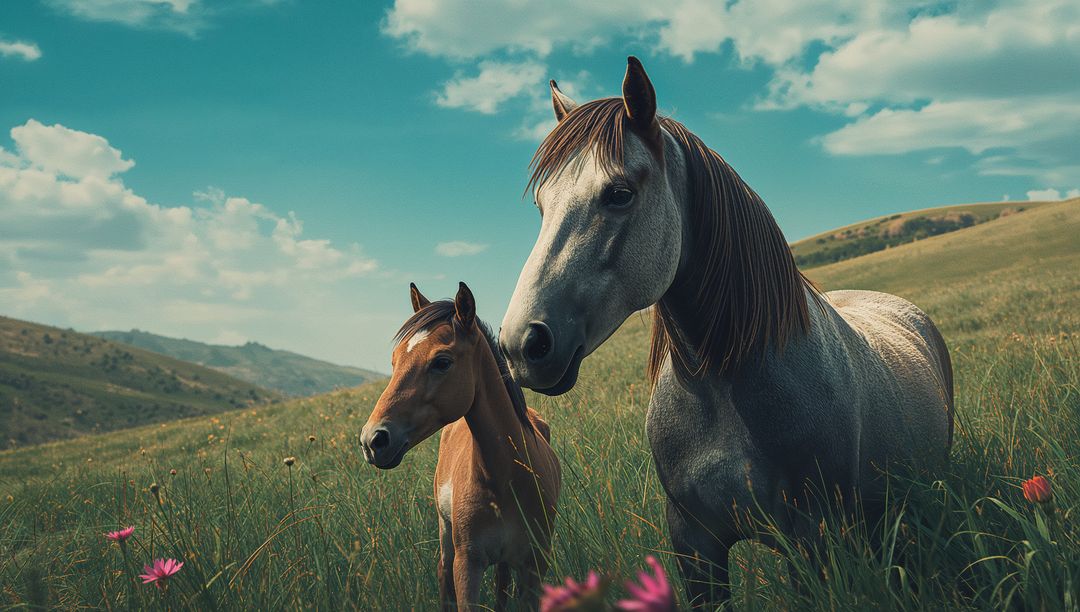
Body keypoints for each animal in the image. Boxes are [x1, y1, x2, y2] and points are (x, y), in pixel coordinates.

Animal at [360, 282, 561, 610]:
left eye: (442, 362)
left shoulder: (535, 565)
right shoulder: (468, 563)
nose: (372, 439)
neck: (505, 478)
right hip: (447, 537)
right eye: (394, 361)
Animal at [498, 57, 954, 606]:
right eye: (543, 205)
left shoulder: (815, 540)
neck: (722, 386)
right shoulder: (695, 545)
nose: (521, 344)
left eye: (619, 194)